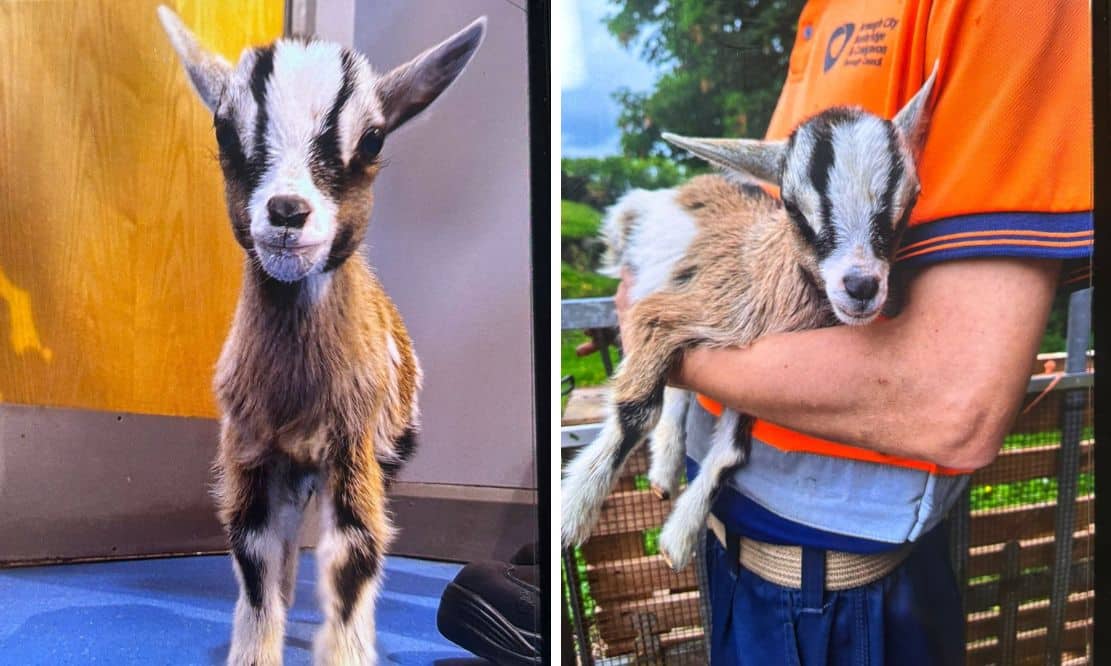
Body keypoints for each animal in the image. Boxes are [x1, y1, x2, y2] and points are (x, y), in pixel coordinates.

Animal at [157, 7, 485, 665]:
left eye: (374, 138)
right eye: (224, 131)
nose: (287, 212)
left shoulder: (352, 447)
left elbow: (355, 550)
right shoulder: (252, 449)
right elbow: (256, 552)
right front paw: (258, 648)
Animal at [561, 66, 937, 572]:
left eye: (910, 200)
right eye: (794, 208)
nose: (861, 286)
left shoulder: (753, 370)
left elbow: (731, 451)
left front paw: (678, 537)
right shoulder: (668, 312)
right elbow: (637, 409)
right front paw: (572, 512)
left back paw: (664, 470)